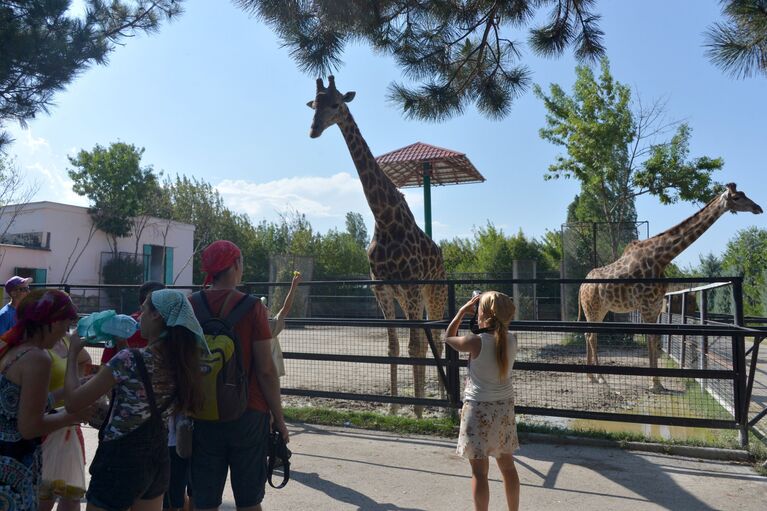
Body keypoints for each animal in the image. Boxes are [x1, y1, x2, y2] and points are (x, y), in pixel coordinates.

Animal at [308, 77, 450, 420]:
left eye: (336, 104)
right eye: (313, 104)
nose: (313, 130)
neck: (383, 217)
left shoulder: (410, 286)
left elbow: (412, 346)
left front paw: (417, 412)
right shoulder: (382, 288)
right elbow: (393, 347)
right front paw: (395, 407)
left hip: (434, 291)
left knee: (437, 338)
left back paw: (442, 406)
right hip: (412, 297)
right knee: (427, 340)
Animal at [584, 184, 760, 392]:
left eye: (744, 194)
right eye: (736, 197)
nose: (758, 208)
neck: (662, 258)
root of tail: (582, 285)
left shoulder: (655, 305)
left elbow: (655, 340)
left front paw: (657, 383)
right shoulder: (646, 305)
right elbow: (651, 339)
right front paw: (655, 383)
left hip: (600, 309)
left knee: (589, 334)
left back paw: (592, 377)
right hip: (593, 308)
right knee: (591, 336)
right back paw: (600, 378)